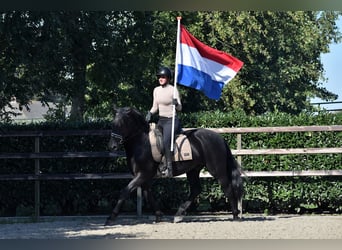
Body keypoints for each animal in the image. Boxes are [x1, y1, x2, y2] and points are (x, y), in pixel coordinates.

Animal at [105, 106, 242, 226]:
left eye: (122, 123)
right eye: (113, 123)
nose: (112, 146)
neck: (142, 143)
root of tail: (219, 138)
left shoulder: (143, 174)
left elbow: (125, 191)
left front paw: (111, 217)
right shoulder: (144, 177)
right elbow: (148, 194)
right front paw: (159, 215)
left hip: (217, 169)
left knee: (227, 187)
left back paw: (235, 215)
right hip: (193, 170)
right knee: (196, 189)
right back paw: (179, 214)